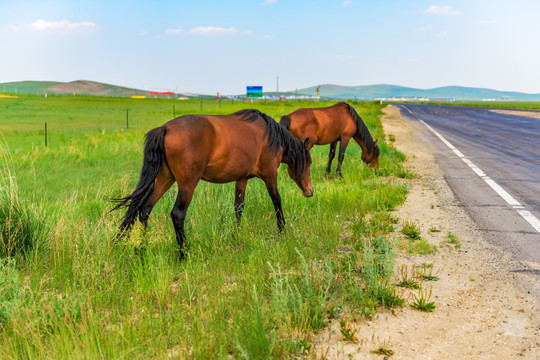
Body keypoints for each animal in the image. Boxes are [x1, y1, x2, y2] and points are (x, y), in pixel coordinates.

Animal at [110, 108, 312, 258]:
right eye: (308, 163)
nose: (310, 191)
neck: (271, 136)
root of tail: (166, 128)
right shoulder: (270, 175)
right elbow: (277, 200)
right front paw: (282, 230)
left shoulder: (242, 179)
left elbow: (238, 207)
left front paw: (236, 235)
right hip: (187, 185)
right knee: (177, 214)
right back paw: (184, 254)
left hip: (164, 180)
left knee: (145, 209)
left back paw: (141, 251)